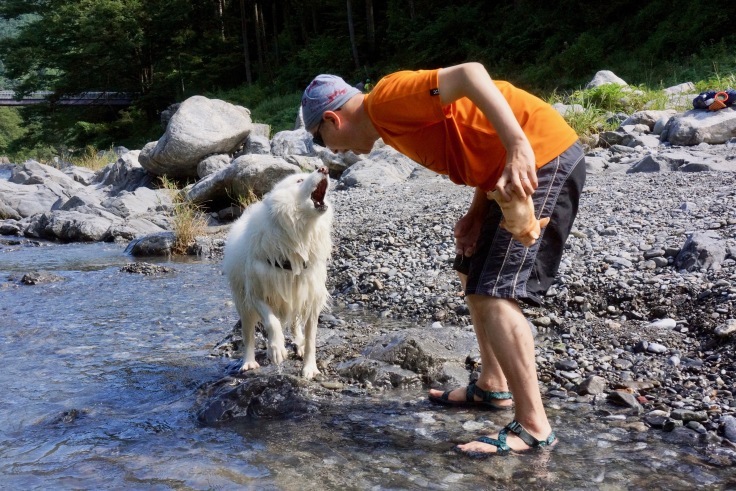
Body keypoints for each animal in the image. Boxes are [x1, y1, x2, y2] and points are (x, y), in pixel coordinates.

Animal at [220, 167, 332, 378]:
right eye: (299, 180)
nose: (324, 169)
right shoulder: (256, 292)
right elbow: (272, 322)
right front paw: (276, 349)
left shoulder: (311, 296)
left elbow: (311, 338)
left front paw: (309, 367)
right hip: (243, 304)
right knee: (248, 334)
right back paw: (248, 362)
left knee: (296, 324)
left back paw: (299, 344)